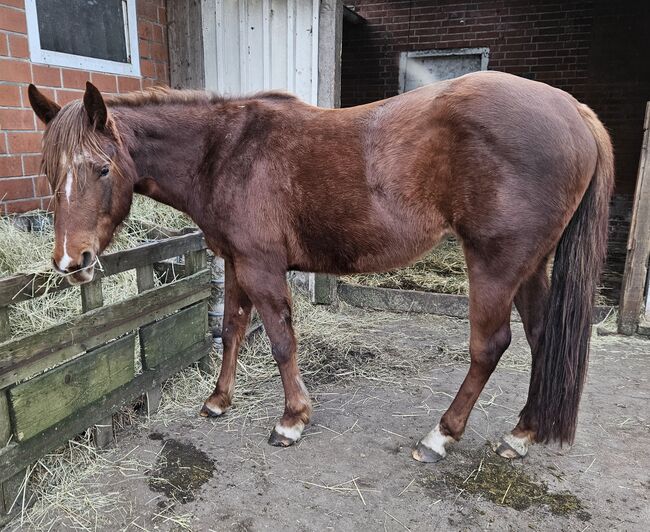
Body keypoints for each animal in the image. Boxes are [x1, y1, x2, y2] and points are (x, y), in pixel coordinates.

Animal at [27, 70, 612, 462]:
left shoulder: (262, 266)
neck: (223, 151)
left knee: (490, 347)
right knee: (542, 337)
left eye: (102, 168)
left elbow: (281, 339)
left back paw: (440, 435)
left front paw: (291, 420)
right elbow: (233, 328)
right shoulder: (236, 263)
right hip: (530, 267)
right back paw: (522, 433)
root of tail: (574, 111)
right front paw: (218, 400)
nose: (71, 262)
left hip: (495, 264)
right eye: (51, 172)